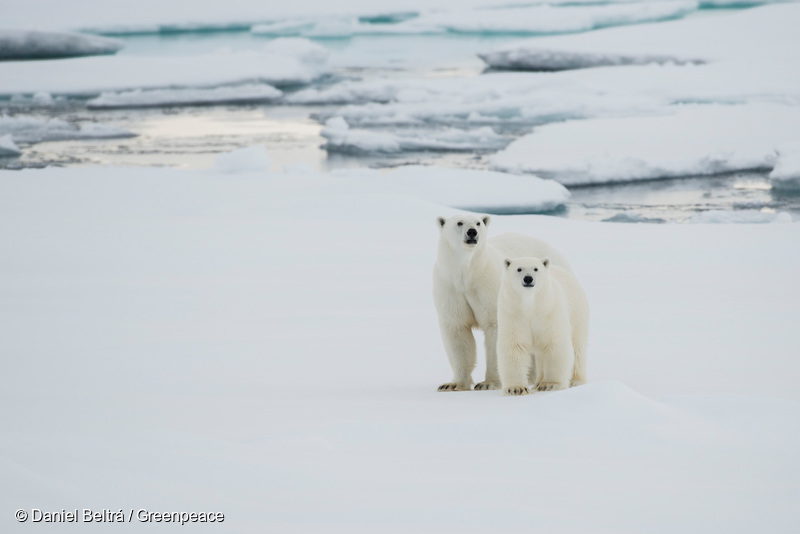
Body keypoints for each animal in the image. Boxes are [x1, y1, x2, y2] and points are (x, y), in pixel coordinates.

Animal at [434, 215, 572, 394]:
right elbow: (457, 332)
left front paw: (489, 383)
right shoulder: (450, 287)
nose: (472, 232)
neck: (468, 274)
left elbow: (495, 329)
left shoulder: (489, 287)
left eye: (478, 222)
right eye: (459, 223)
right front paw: (452, 384)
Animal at [496, 258, 592, 396]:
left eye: (536, 269)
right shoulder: (513, 313)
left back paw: (576, 381)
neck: (530, 305)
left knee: (578, 347)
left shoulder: (549, 310)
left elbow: (554, 343)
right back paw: (538, 382)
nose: (528, 278)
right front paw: (516, 388)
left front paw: (550, 385)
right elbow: (515, 345)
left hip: (577, 312)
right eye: (519, 269)